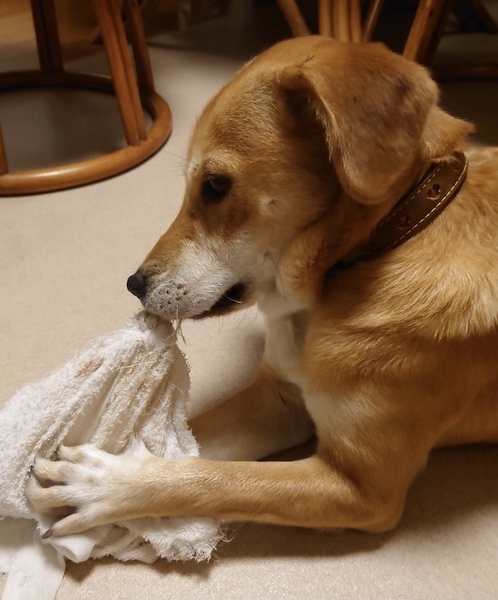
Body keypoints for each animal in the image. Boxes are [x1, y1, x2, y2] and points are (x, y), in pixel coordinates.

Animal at [28, 36, 498, 536]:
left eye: (216, 185)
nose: (134, 284)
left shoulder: (361, 487)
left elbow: (216, 479)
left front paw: (107, 484)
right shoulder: (281, 397)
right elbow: (192, 441)